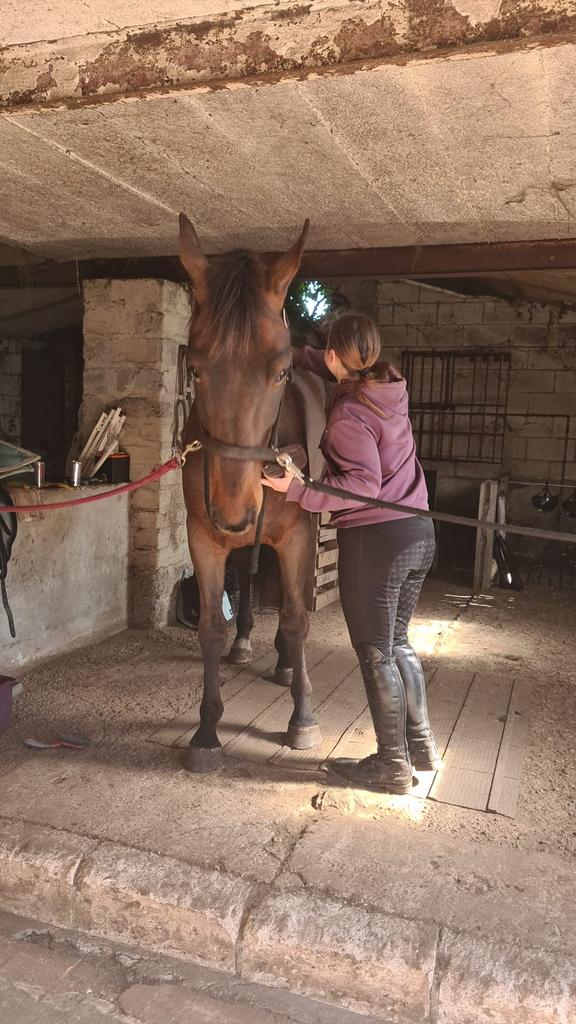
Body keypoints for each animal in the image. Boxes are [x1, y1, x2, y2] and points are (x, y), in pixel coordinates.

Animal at [178, 213, 322, 773]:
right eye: (195, 369)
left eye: (280, 372)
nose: (235, 511)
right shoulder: (204, 535)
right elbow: (209, 628)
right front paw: (206, 730)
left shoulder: (298, 536)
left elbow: (298, 617)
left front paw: (302, 717)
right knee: (247, 572)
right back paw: (246, 644)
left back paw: (285, 665)